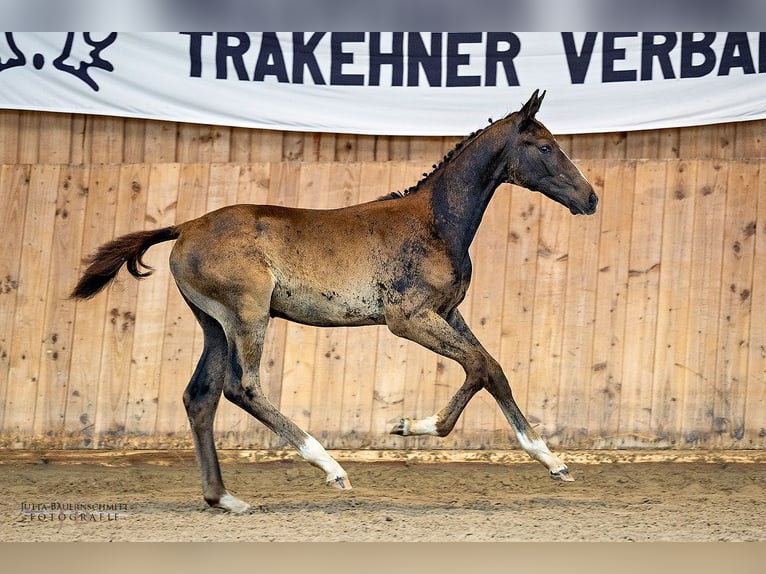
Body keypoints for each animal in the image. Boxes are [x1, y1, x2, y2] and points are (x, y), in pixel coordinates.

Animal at [72, 92, 600, 516]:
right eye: (546, 147)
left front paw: (552, 460)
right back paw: (329, 465)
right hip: (247, 314)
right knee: (242, 387)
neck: (436, 222)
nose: (591, 198)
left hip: (213, 324)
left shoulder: (448, 312)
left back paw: (225, 498)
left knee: (200, 396)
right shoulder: (407, 319)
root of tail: (184, 227)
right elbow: (478, 365)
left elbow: (491, 368)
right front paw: (411, 425)